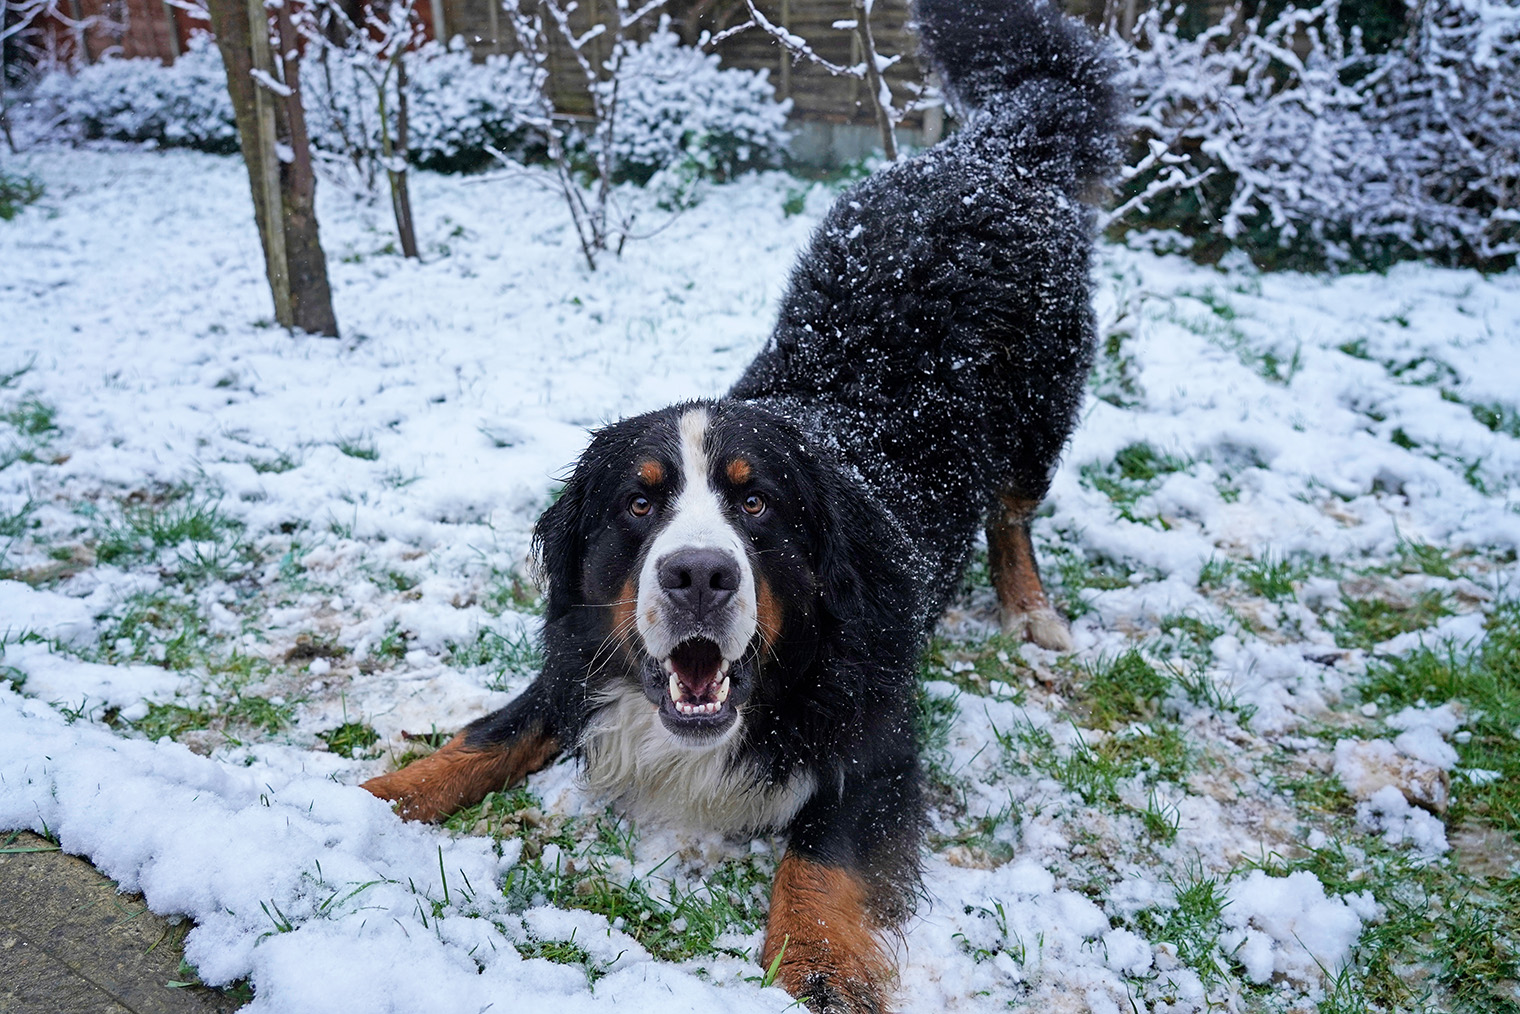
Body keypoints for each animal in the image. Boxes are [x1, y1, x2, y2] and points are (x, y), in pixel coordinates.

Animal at [355, 0, 1118, 1009]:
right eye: (639, 506)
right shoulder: (582, 657)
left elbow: (821, 854)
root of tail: (995, 150)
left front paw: (823, 966)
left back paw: (1031, 612)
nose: (697, 576)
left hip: (1040, 412)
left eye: (757, 507)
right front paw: (357, 803)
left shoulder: (874, 733)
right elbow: (485, 737)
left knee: (1014, 514)